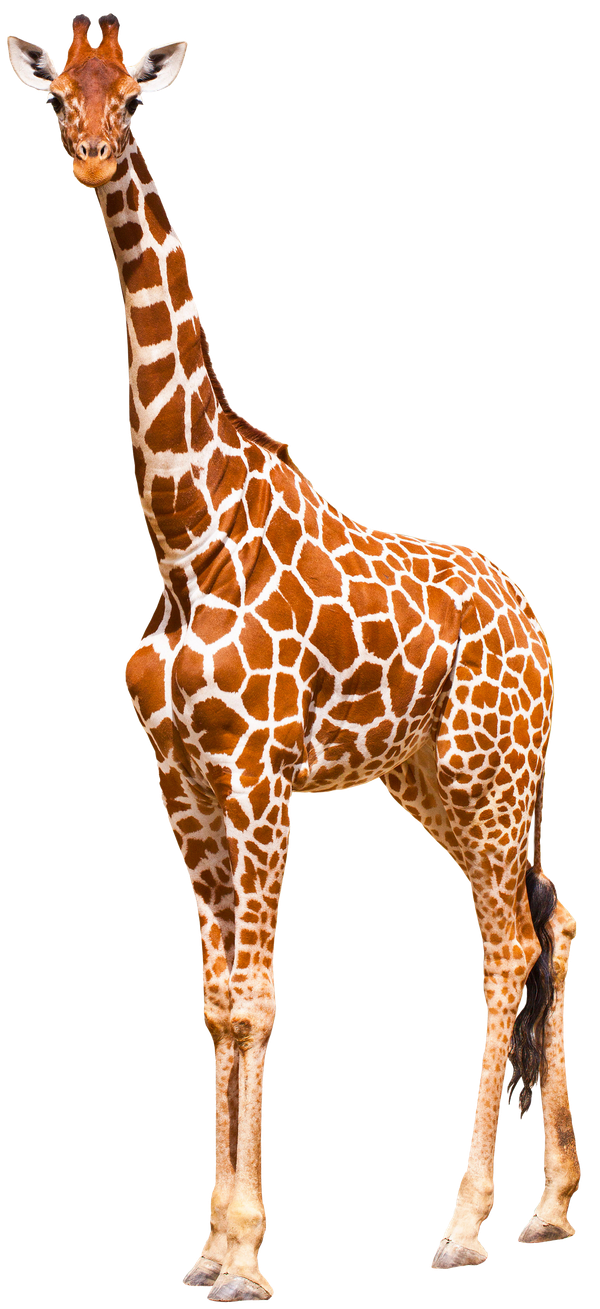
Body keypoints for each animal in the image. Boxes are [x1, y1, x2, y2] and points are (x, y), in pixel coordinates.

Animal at [8, 13, 581, 1295]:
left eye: (134, 100)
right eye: (57, 96)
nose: (89, 154)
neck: (184, 534)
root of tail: (537, 627)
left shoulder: (259, 772)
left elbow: (260, 1000)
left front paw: (247, 1255)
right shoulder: (178, 776)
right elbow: (216, 999)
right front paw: (212, 1243)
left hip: (488, 772)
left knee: (510, 942)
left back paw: (465, 1224)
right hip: (437, 781)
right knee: (555, 921)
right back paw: (553, 1205)